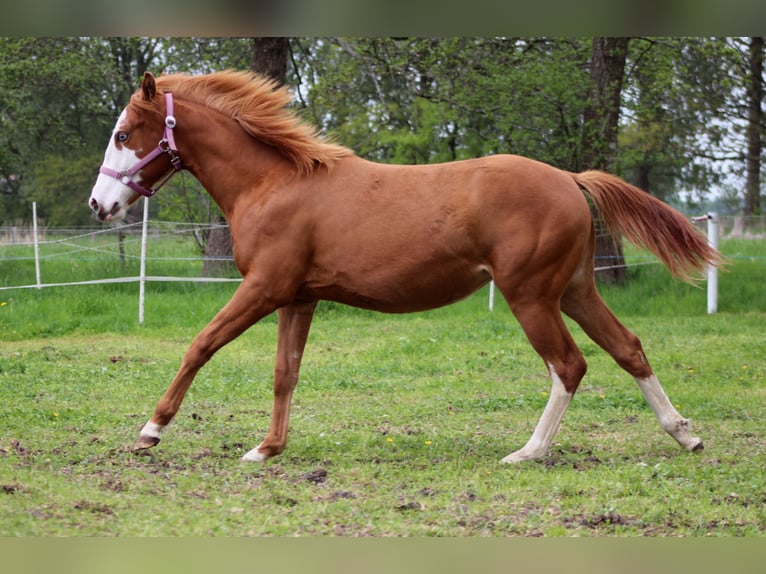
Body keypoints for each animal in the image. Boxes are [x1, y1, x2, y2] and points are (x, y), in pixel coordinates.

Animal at [89, 71, 719, 464]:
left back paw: (528, 452)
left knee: (568, 366)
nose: (99, 205)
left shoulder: (264, 288)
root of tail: (569, 178)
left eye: (123, 133)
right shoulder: (299, 297)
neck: (274, 183)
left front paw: (150, 431)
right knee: (628, 348)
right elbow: (284, 373)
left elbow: (201, 345)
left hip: (532, 296)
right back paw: (684, 435)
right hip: (575, 290)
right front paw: (267, 449)